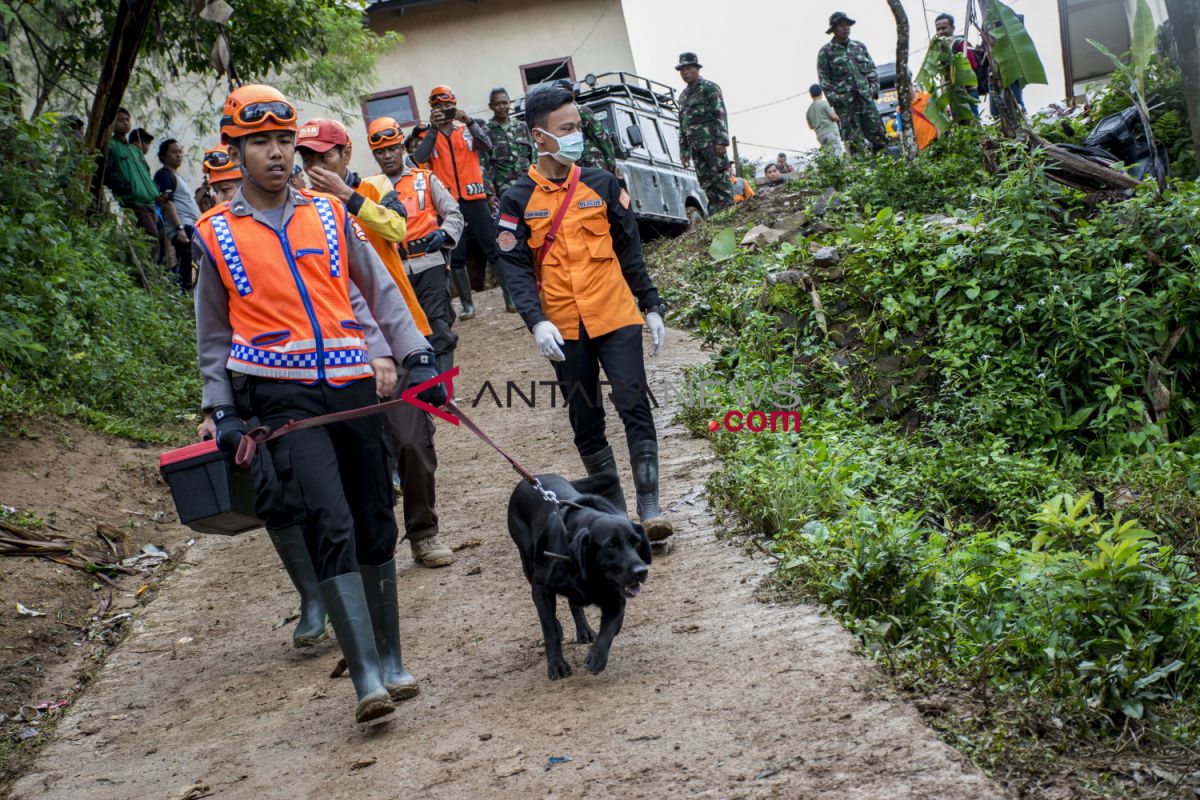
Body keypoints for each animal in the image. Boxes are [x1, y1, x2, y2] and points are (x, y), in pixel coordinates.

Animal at [508, 472, 657, 681]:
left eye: (636, 542)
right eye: (611, 545)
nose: (641, 571)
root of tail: (537, 476)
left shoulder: (616, 600)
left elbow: (608, 630)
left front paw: (597, 657)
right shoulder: (541, 588)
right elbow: (549, 630)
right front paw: (556, 665)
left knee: (574, 604)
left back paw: (584, 630)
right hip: (527, 561)